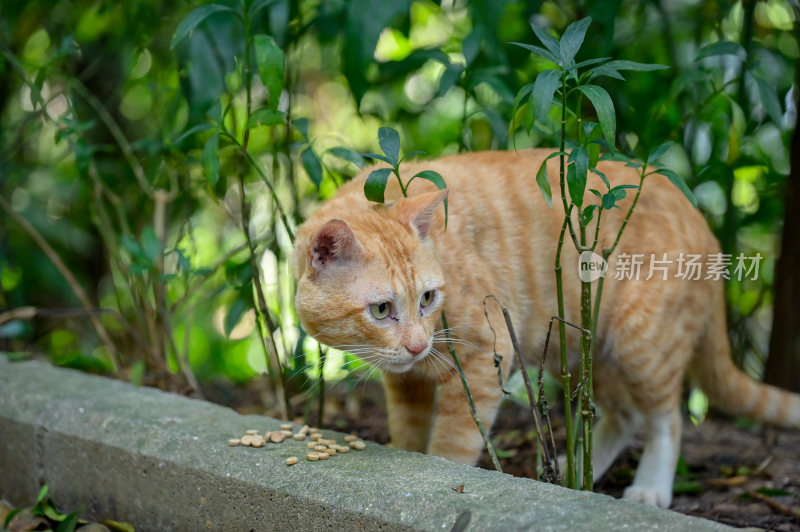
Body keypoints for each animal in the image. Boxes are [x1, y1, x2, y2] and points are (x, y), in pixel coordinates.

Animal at [292, 149, 800, 508]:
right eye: (381, 310)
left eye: (427, 299)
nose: (418, 346)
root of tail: (701, 219)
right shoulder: (407, 387)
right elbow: (409, 437)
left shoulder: (481, 361)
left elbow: (451, 447)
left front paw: (441, 475)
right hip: (584, 351)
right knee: (622, 417)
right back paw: (575, 474)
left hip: (640, 344)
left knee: (665, 421)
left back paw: (650, 488)